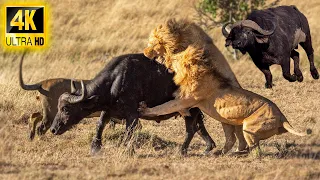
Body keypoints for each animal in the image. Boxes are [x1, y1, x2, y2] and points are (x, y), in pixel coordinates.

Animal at [139, 44, 310, 150]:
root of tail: (282, 117)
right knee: (233, 139)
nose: (165, 57)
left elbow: (164, 107)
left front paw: (144, 109)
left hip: (250, 126)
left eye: (175, 58)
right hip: (228, 120)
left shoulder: (187, 99)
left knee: (251, 145)